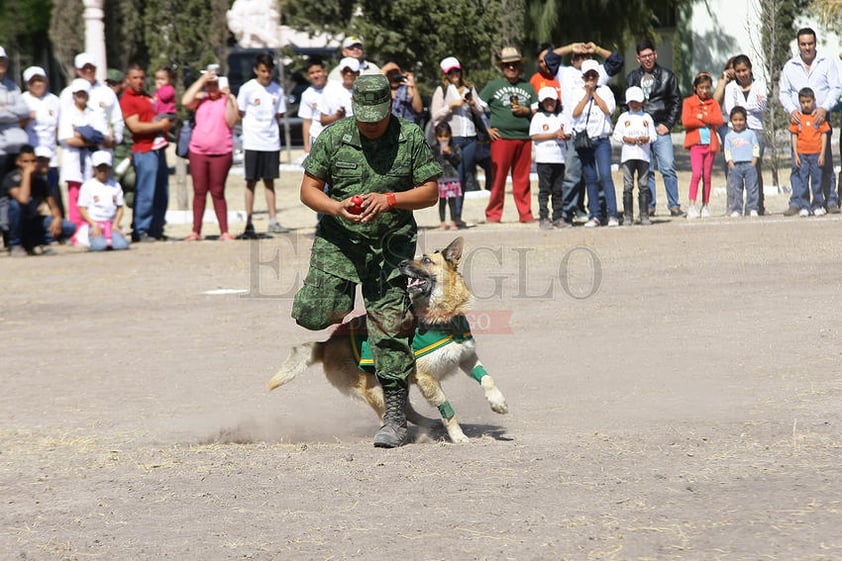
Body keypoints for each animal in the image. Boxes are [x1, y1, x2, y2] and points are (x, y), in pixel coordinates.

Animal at [270, 236, 506, 442]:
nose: (400, 264)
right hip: (376, 389)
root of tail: (327, 345)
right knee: (392, 413)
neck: (442, 316)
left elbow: (488, 379)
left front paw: (497, 402)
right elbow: (447, 409)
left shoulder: (466, 357)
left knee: (405, 408)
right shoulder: (427, 379)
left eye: (426, 260)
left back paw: (426, 424)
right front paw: (457, 435)